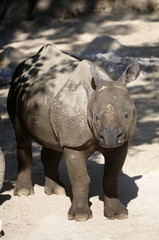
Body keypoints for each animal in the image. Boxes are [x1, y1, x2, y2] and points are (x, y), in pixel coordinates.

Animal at [6, 44, 140, 221]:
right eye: (96, 117)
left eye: (126, 115)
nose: (110, 138)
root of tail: (25, 63)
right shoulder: (74, 144)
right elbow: (81, 179)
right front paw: (81, 217)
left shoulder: (122, 141)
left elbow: (111, 177)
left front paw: (119, 214)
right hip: (15, 90)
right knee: (22, 137)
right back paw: (23, 193)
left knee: (52, 143)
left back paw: (56, 191)